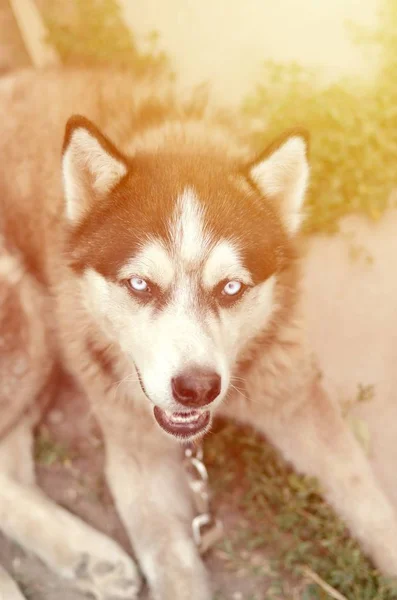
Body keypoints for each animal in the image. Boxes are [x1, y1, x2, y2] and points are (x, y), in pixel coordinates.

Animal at [2, 68, 396, 596]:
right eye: (140, 284)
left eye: (231, 287)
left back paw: (89, 558)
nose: (196, 388)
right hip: (25, 317)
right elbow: (174, 569)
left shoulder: (294, 396)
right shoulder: (139, 458)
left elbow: (366, 501)